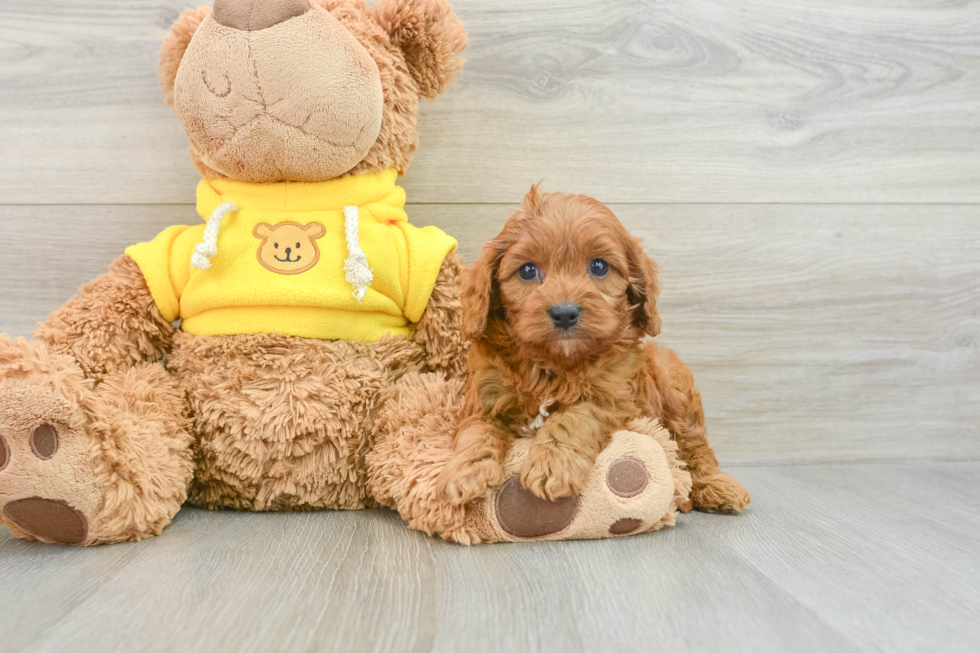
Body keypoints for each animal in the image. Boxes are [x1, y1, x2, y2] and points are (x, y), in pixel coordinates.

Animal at [436, 186, 752, 512]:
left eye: (599, 266)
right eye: (527, 270)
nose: (564, 313)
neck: (555, 363)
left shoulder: (613, 397)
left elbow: (574, 416)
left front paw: (553, 464)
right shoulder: (484, 399)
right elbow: (476, 431)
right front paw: (465, 471)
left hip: (673, 380)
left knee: (694, 444)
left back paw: (716, 487)